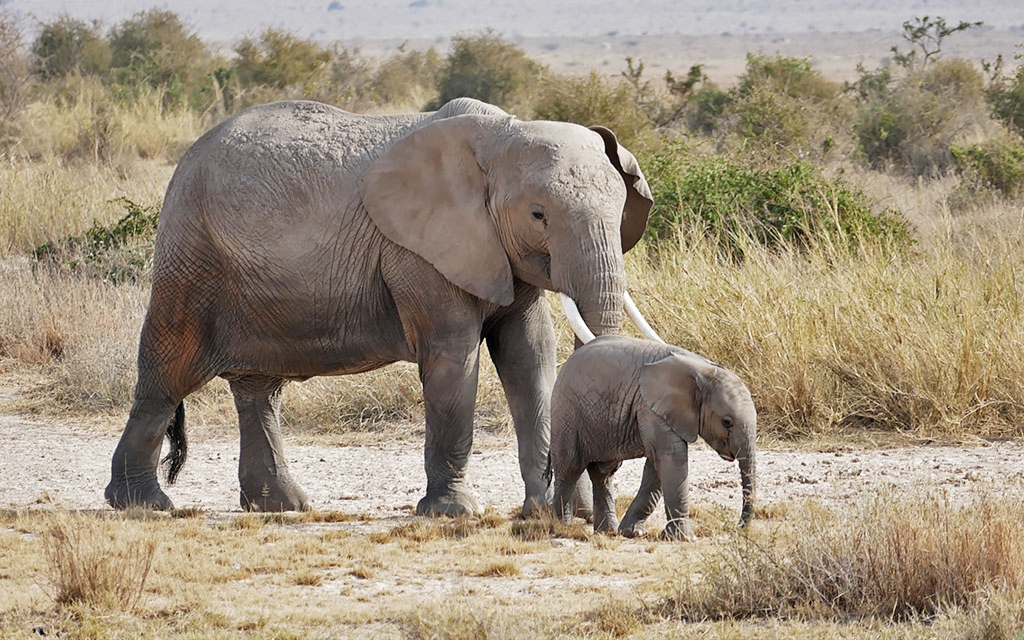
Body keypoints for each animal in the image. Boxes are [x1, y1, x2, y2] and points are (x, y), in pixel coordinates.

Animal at [105, 97, 655, 516]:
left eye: (620, 211)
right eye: (539, 215)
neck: (499, 135)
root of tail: (185, 161)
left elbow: (530, 355)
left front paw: (556, 512)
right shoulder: (418, 250)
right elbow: (454, 356)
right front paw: (454, 514)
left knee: (257, 391)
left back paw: (282, 506)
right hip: (191, 259)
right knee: (166, 376)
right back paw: (143, 505)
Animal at [552, 333, 761, 540]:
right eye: (727, 422)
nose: (737, 529)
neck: (704, 370)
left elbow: (657, 467)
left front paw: (632, 532)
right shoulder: (650, 407)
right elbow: (671, 456)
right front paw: (685, 538)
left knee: (604, 474)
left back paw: (607, 531)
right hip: (567, 414)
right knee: (570, 468)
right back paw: (561, 527)